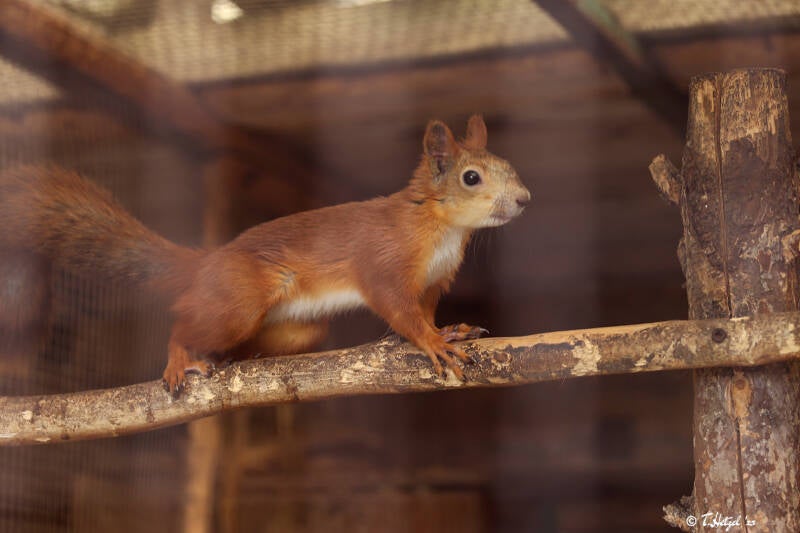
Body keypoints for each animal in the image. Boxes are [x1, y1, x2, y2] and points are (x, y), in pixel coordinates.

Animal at [0, 115, 530, 396]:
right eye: (471, 178)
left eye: (510, 165)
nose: (525, 199)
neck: (443, 228)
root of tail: (206, 263)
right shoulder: (384, 260)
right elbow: (398, 309)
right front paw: (433, 341)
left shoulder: (435, 280)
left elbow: (425, 308)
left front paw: (451, 328)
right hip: (238, 299)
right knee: (183, 323)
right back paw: (179, 358)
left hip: (297, 329)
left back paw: (236, 358)